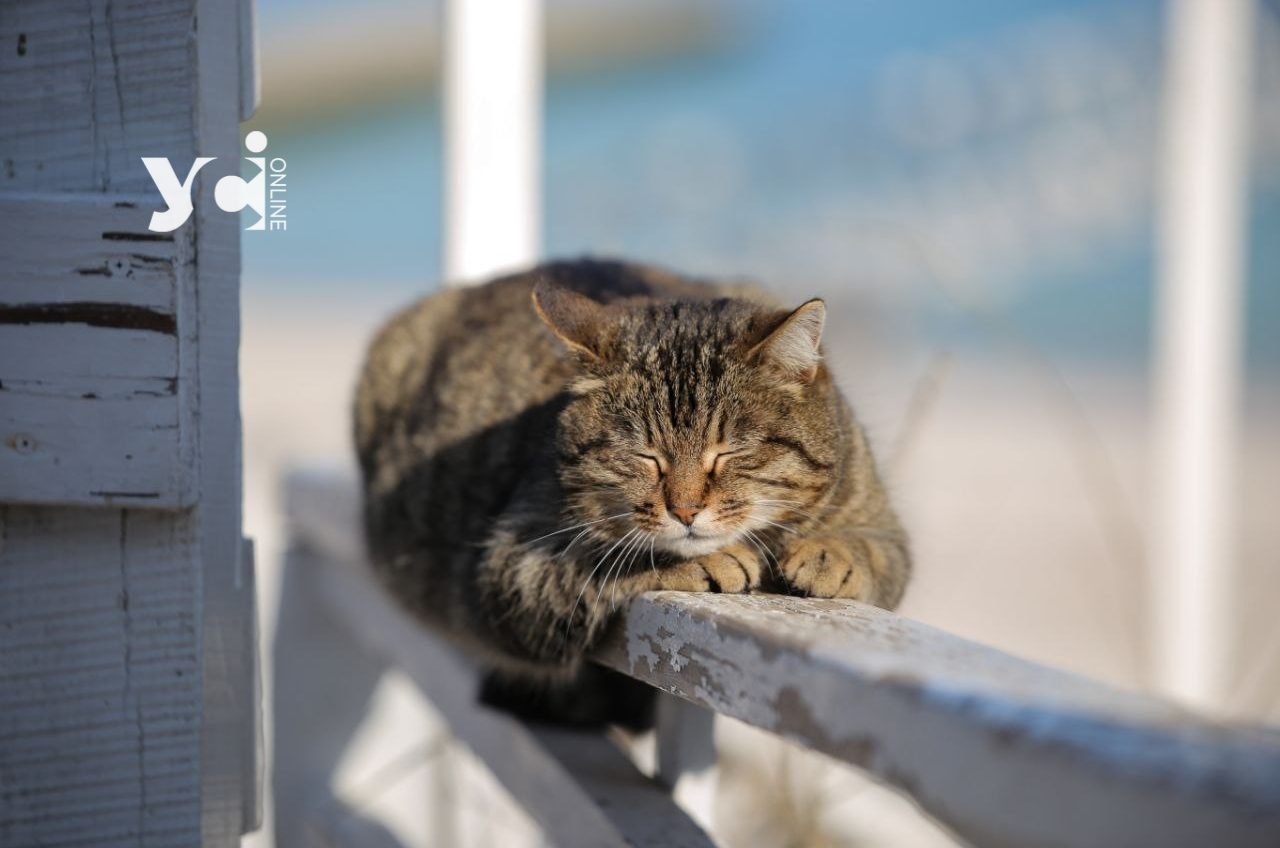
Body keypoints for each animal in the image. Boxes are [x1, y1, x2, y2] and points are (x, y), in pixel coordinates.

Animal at [353, 256, 911, 686]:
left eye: (727, 452)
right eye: (646, 456)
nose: (685, 510)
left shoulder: (879, 516)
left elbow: (880, 553)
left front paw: (831, 554)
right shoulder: (510, 565)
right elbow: (604, 561)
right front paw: (705, 560)